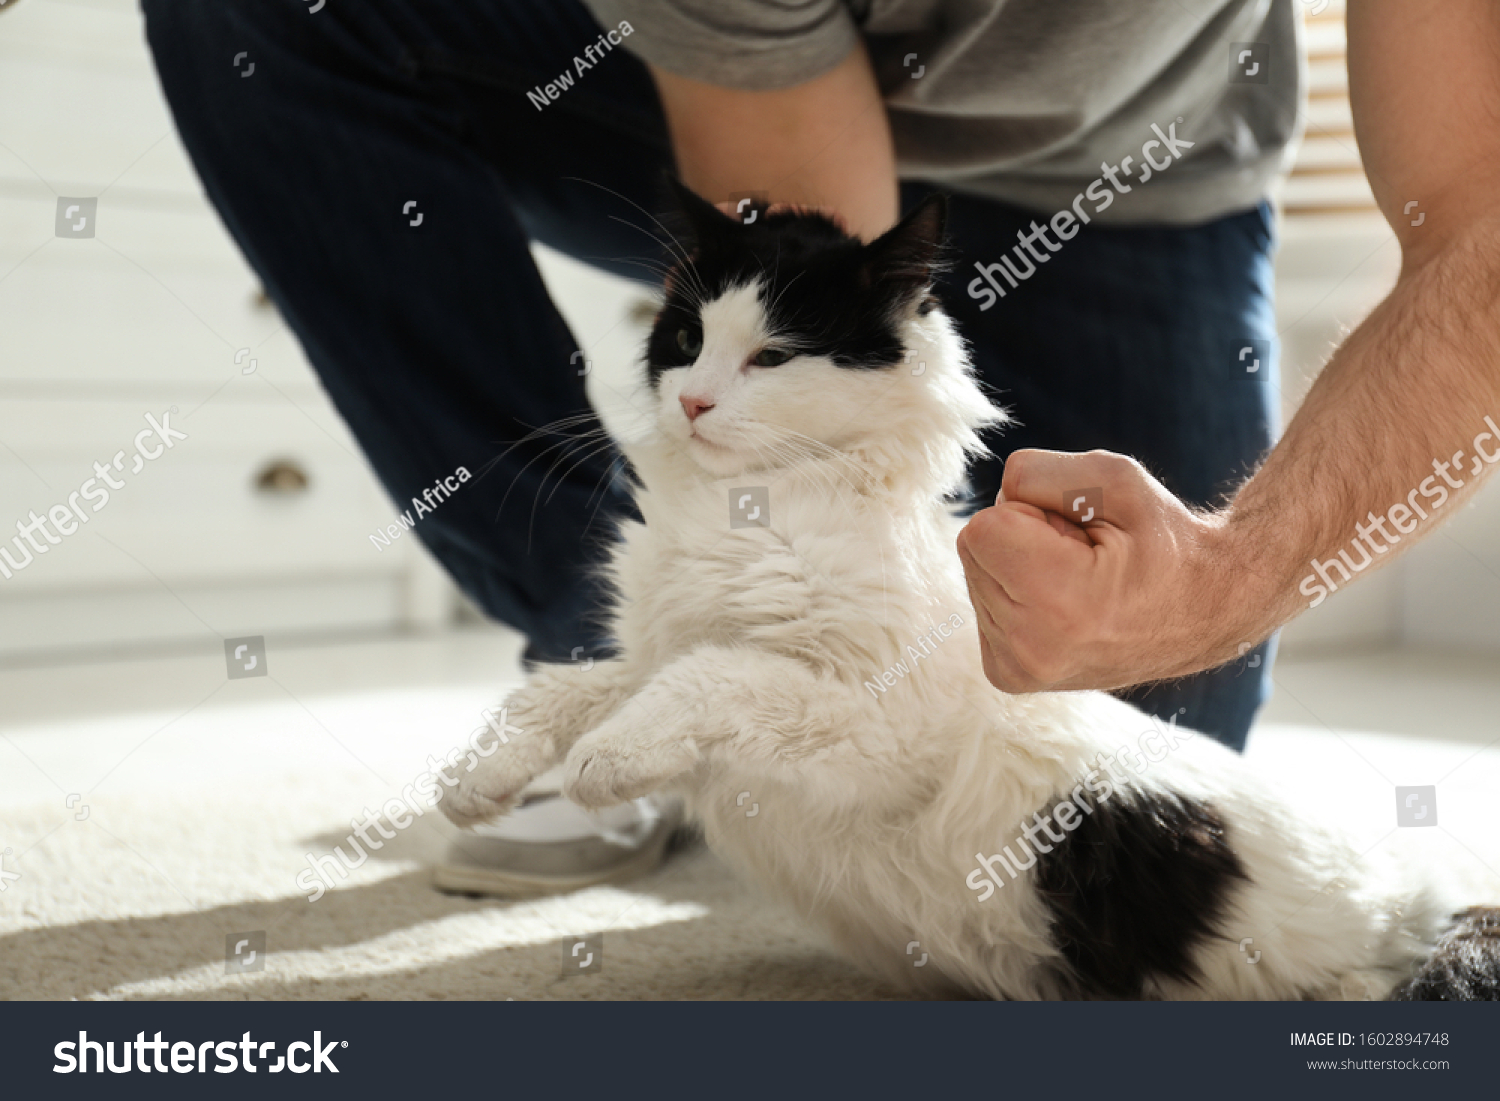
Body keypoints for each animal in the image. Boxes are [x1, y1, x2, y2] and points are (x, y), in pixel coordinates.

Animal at [447, 181, 1500, 1002]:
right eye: (685, 337)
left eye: (772, 356)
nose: (695, 403)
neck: (749, 513)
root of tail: (1432, 898)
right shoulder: (667, 647)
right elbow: (577, 684)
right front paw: (482, 779)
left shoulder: (868, 727)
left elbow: (713, 676)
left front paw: (606, 760)